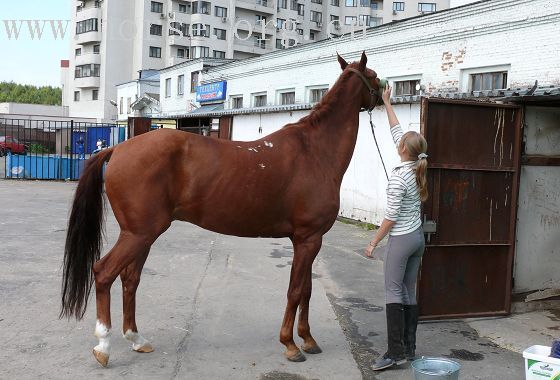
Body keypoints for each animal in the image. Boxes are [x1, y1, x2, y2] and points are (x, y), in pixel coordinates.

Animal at [62, 52, 384, 366]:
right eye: (374, 77)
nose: (383, 97)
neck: (315, 152)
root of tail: (116, 148)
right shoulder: (308, 238)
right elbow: (295, 291)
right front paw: (291, 344)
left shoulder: (306, 240)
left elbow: (306, 290)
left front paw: (308, 339)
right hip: (138, 235)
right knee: (104, 273)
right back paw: (103, 346)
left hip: (142, 235)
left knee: (130, 279)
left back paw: (137, 339)